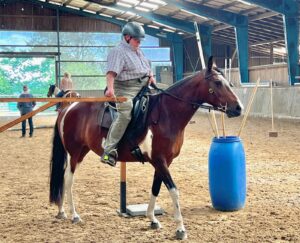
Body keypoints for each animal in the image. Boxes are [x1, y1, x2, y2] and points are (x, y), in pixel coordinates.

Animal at [49, 56, 244, 239]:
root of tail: (68, 108)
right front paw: (180, 229)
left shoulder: (163, 162)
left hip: (82, 151)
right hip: (74, 153)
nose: (238, 108)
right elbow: (174, 191)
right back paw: (74, 215)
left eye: (228, 82)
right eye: (217, 83)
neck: (166, 114)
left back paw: (62, 211)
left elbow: (155, 187)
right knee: (68, 179)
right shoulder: (159, 160)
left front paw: (152, 219)